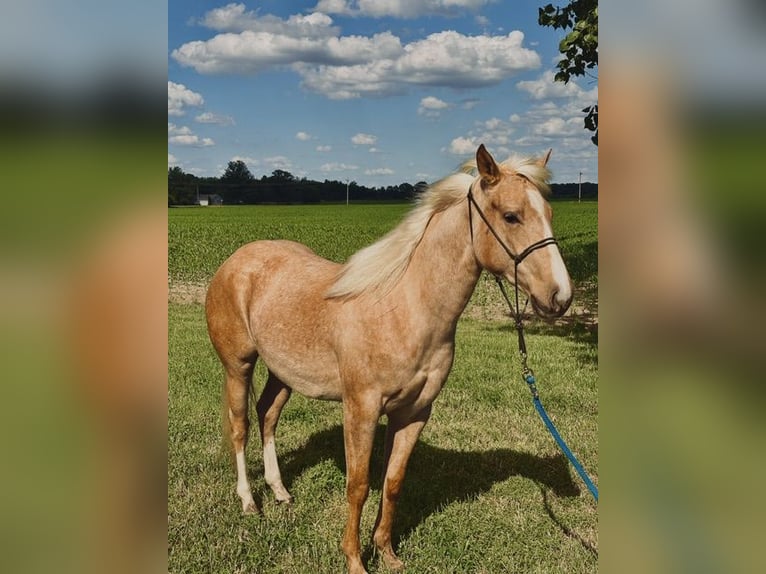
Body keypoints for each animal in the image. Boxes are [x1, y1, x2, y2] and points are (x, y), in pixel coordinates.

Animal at [205, 144, 572, 574]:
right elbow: (359, 485)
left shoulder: (413, 413)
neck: (405, 308)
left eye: (549, 213)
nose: (560, 297)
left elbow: (392, 483)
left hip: (283, 372)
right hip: (239, 366)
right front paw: (354, 558)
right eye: (511, 215)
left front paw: (387, 553)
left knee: (267, 415)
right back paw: (249, 501)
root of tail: (236, 261)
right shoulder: (361, 410)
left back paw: (280, 492)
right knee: (241, 426)